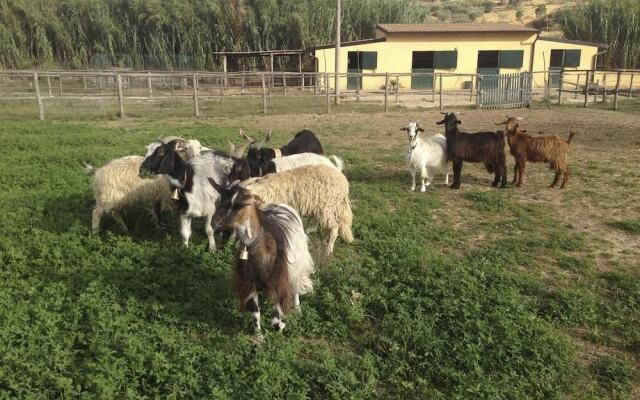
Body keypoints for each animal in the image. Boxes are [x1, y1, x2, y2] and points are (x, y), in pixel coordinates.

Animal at [210, 165, 352, 253]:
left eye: (235, 205)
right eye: (220, 202)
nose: (214, 222)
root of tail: (344, 183)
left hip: (328, 205)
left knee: (334, 227)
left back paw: (328, 248)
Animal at [211, 186, 314, 342]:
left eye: (239, 205)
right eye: (219, 201)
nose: (214, 222)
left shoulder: (279, 282)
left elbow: (276, 320)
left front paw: (282, 324)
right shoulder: (250, 283)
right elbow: (255, 313)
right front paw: (259, 338)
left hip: (297, 264)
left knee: (295, 285)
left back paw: (298, 310)